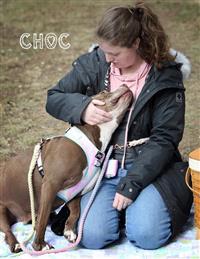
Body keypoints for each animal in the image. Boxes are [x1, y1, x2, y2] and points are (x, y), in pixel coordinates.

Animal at [0, 85, 133, 254]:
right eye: (104, 92)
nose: (125, 85)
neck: (91, 137)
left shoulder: (76, 191)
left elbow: (75, 211)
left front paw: (69, 230)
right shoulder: (50, 185)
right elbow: (42, 220)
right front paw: (39, 246)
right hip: (2, 210)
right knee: (7, 230)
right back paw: (16, 244)